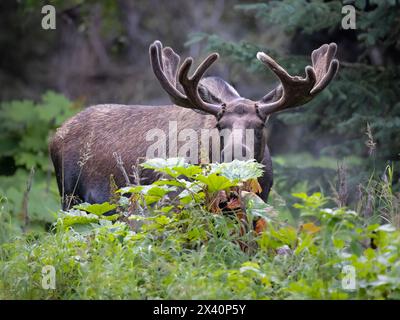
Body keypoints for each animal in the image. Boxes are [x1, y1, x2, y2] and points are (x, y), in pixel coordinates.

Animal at [49, 40, 338, 209]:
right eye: (220, 125)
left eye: (259, 124)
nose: (235, 155)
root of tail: (55, 135)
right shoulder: (175, 195)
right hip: (69, 193)